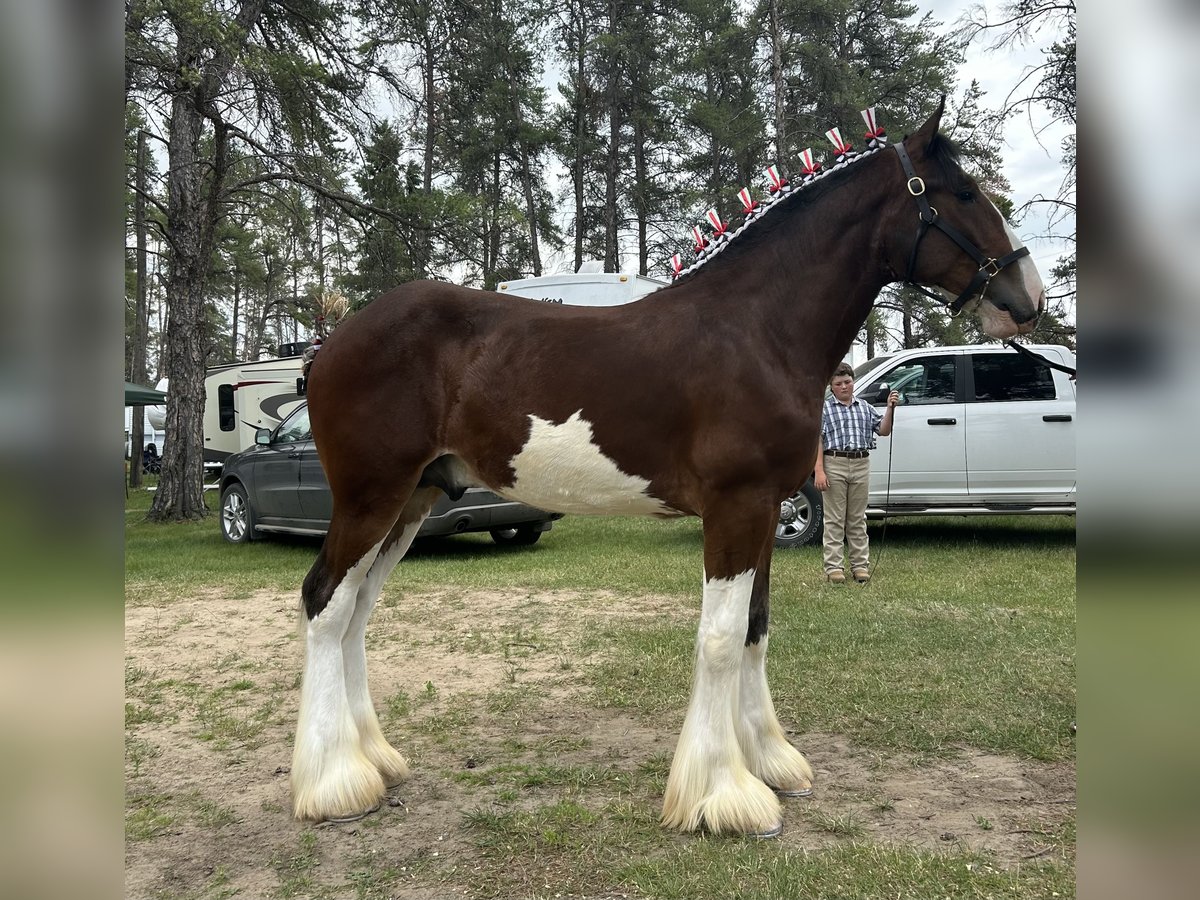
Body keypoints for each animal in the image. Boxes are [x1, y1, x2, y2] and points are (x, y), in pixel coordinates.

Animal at [288, 100, 1041, 840]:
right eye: (963, 193)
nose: (1026, 295)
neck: (757, 332)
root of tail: (331, 342)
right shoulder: (736, 506)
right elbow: (720, 639)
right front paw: (724, 796)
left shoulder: (766, 509)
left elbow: (755, 628)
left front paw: (770, 761)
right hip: (370, 497)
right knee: (326, 603)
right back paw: (334, 783)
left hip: (410, 502)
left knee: (356, 610)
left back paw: (376, 761)